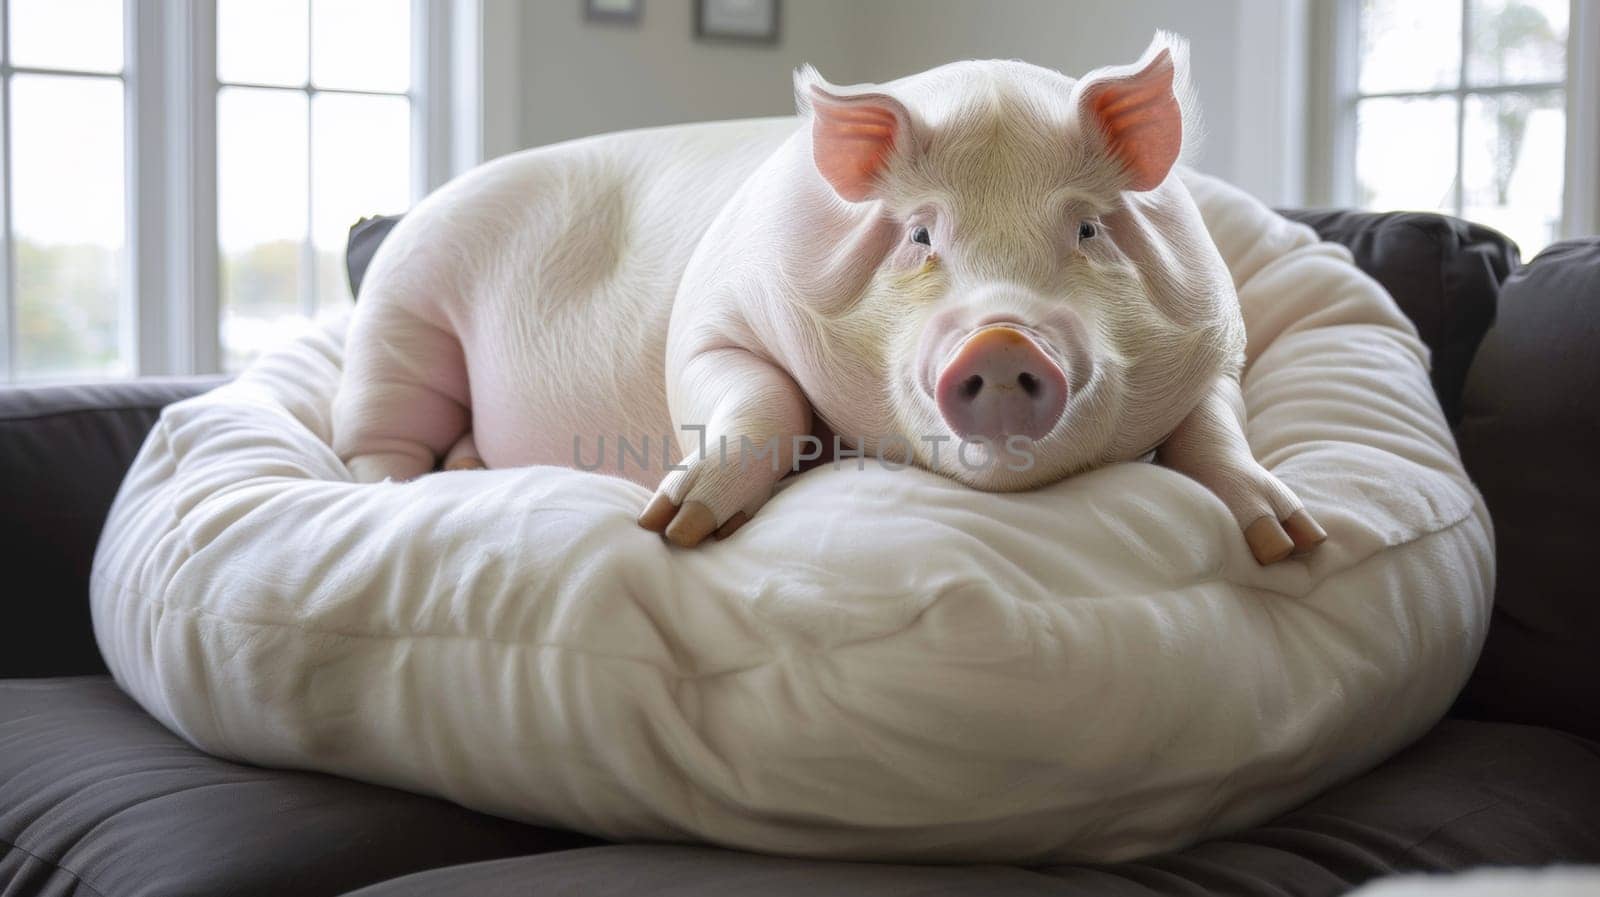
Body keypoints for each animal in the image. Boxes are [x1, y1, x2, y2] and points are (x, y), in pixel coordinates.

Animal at [334, 34, 1324, 566]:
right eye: (921, 235)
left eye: (1086, 229)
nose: (1003, 340)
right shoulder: (713, 322)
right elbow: (758, 396)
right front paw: (673, 523)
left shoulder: (1221, 345)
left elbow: (1215, 431)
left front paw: (1294, 537)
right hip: (399, 314)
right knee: (376, 440)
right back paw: (404, 485)